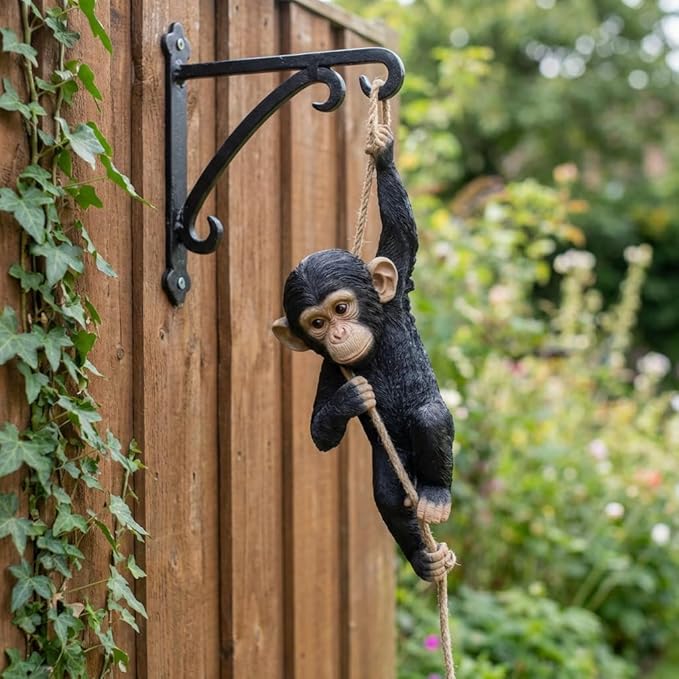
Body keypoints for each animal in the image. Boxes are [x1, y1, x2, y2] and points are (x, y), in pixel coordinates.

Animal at [272, 126, 454, 582]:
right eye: (317, 323)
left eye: (341, 308)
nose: (338, 332)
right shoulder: (330, 368)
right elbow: (319, 432)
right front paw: (351, 399)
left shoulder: (396, 292)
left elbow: (403, 238)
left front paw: (384, 155)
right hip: (393, 463)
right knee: (387, 495)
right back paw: (424, 558)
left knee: (430, 417)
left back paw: (437, 496)